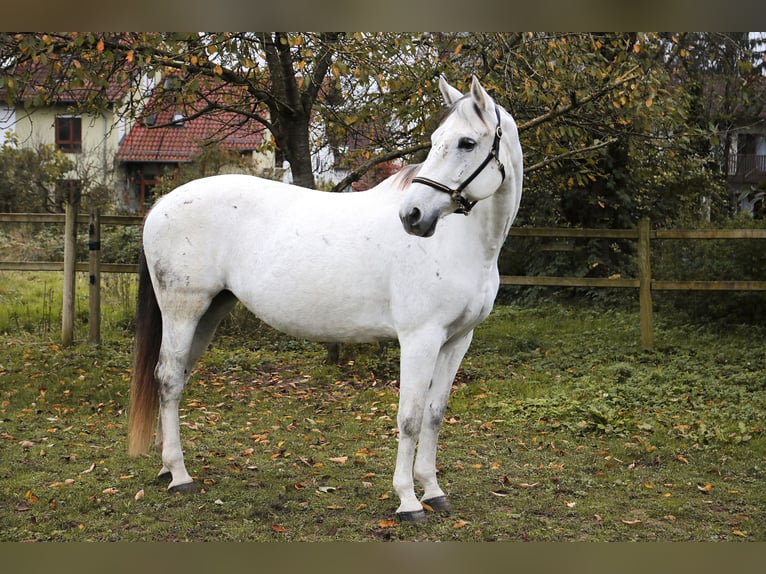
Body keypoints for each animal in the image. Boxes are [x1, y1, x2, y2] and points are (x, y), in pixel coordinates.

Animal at [129, 75, 524, 520]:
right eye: (438, 140)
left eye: (466, 143)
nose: (413, 216)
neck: (461, 244)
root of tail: (162, 203)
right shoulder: (419, 339)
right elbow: (409, 417)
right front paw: (408, 500)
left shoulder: (457, 340)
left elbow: (434, 416)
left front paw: (433, 490)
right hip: (183, 310)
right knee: (167, 379)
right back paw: (180, 476)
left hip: (210, 311)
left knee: (176, 378)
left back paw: (168, 467)